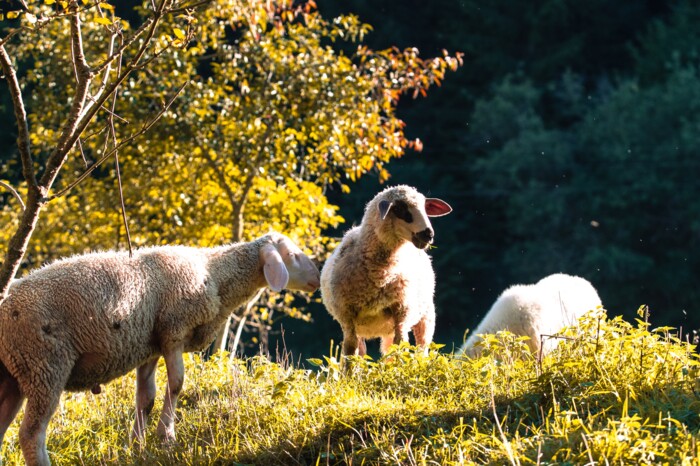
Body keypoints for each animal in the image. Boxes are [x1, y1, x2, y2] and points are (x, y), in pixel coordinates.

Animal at [0, 232, 320, 466]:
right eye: (292, 256)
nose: (317, 279)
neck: (214, 273)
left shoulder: (149, 346)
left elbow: (146, 398)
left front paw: (136, 446)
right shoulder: (173, 331)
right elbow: (177, 384)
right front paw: (166, 436)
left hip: (14, 372)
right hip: (43, 363)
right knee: (31, 434)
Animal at [320, 185, 452, 357]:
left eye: (425, 208)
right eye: (399, 209)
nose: (428, 234)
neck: (381, 275)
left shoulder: (402, 312)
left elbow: (400, 348)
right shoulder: (347, 317)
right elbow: (350, 352)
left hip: (424, 315)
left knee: (418, 350)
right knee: (363, 351)